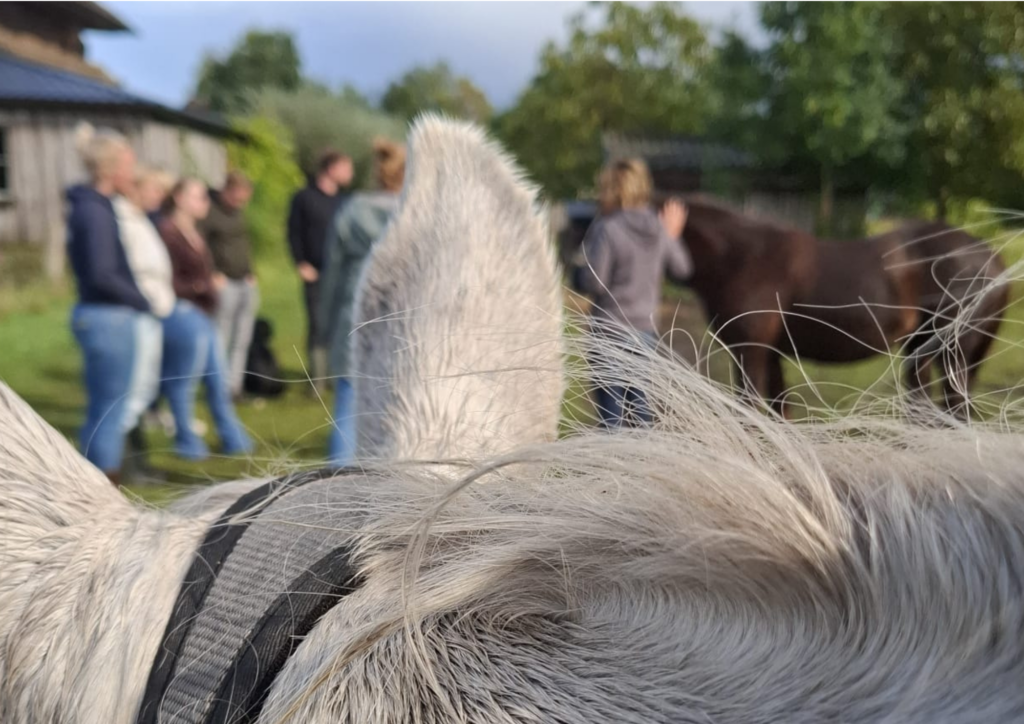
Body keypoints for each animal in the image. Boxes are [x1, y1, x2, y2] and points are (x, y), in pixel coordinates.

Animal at [680, 196, 1009, 416]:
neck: (741, 257)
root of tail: (993, 258)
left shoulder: (750, 352)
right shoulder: (771, 353)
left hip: (953, 353)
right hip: (921, 349)